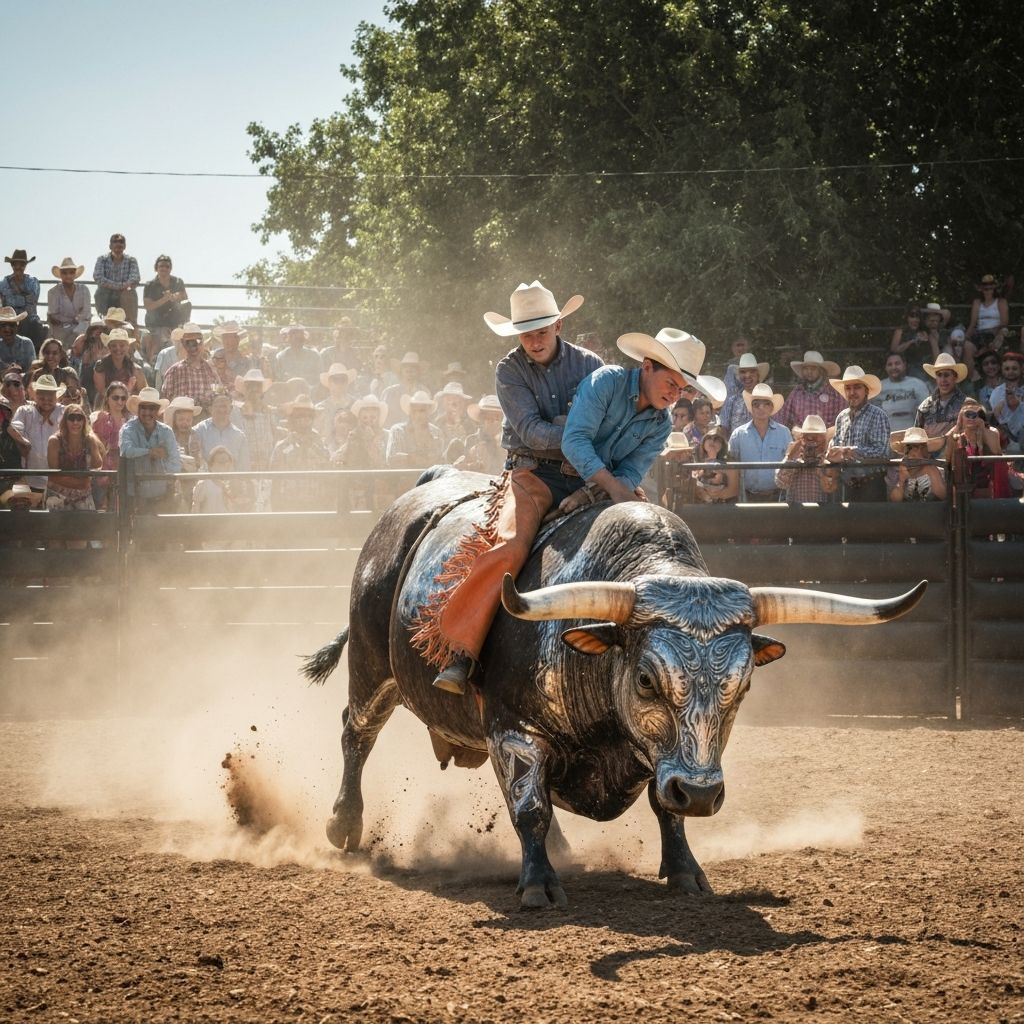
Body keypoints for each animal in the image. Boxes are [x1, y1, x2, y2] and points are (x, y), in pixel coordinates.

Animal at [305, 469, 925, 908]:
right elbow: (529, 806)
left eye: (744, 684)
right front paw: (539, 884)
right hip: (370, 666)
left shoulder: (666, 758)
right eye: (647, 678)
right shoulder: (512, 729)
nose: (703, 794)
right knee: (357, 732)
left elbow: (663, 807)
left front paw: (686, 872)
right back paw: (343, 823)